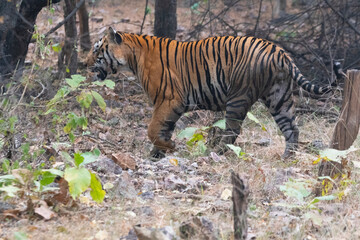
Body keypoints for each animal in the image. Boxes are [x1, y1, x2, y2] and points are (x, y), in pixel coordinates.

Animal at [86, 27, 330, 159]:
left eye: (97, 50)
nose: (85, 63)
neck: (132, 57)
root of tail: (278, 50)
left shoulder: (169, 100)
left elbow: (153, 129)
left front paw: (168, 148)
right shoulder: (169, 105)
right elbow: (162, 130)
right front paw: (158, 154)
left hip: (238, 97)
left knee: (232, 131)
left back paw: (216, 153)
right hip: (278, 97)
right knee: (291, 128)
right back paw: (288, 157)